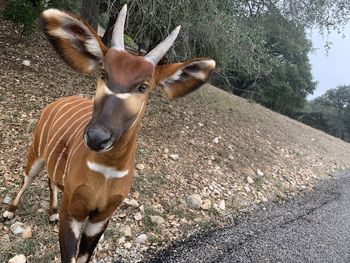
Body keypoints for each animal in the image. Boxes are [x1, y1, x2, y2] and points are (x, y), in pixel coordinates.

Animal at [2, 4, 215, 263]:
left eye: (144, 86)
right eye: (103, 73)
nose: (96, 137)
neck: (107, 170)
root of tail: (56, 103)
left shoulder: (101, 217)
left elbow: (84, 256)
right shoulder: (73, 211)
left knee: (51, 179)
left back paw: (51, 212)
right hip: (36, 152)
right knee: (28, 177)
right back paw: (9, 212)